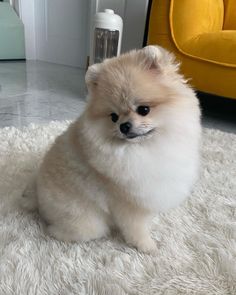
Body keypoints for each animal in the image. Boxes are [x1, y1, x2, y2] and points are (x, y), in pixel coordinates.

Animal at [23, 46, 201, 254]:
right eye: (114, 117)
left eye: (144, 110)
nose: (124, 126)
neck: (144, 148)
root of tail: (38, 198)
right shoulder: (128, 204)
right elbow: (136, 228)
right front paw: (147, 246)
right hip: (89, 224)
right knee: (65, 231)